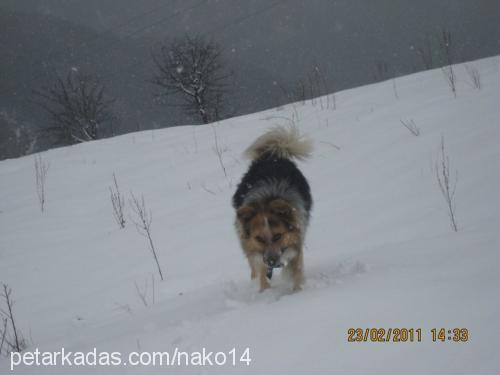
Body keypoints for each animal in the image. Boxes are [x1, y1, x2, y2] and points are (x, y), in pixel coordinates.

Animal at [231, 128, 312, 292]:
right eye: (259, 238)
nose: (272, 262)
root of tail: (272, 156)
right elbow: (261, 272)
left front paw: (298, 292)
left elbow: (297, 270)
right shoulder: (256, 251)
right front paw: (265, 292)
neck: (266, 201)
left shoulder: (296, 241)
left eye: (278, 236)